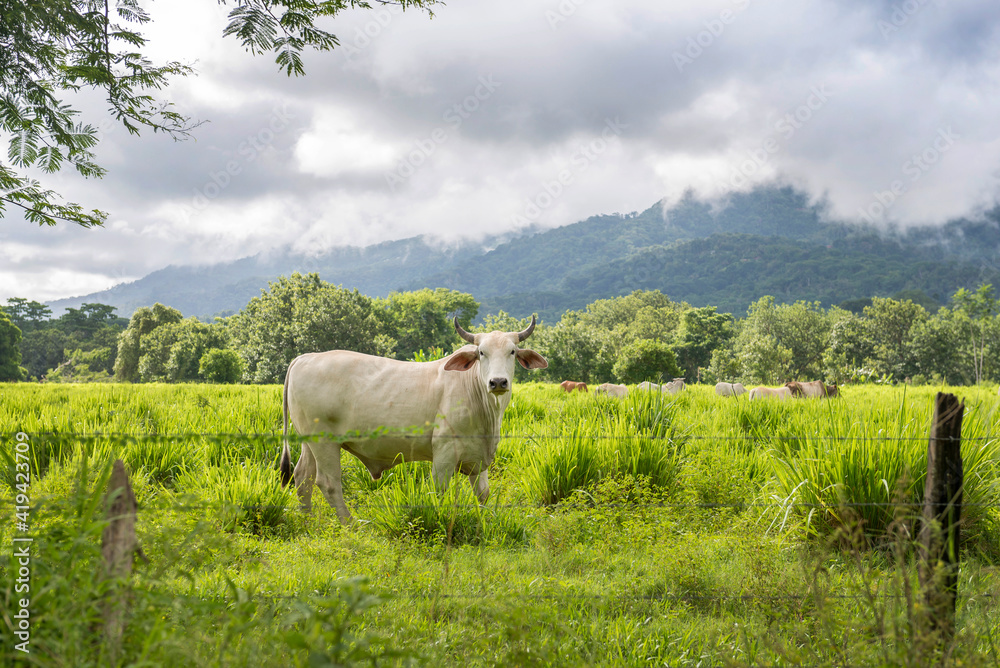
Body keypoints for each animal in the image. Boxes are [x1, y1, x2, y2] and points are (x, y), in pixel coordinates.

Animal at [279, 316, 548, 524]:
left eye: (512, 352)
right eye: (482, 353)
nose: (498, 382)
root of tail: (305, 357)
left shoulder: (479, 456)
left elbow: (483, 494)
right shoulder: (444, 452)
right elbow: (439, 492)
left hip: (308, 441)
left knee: (302, 478)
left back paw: (308, 521)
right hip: (324, 442)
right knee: (328, 483)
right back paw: (350, 524)